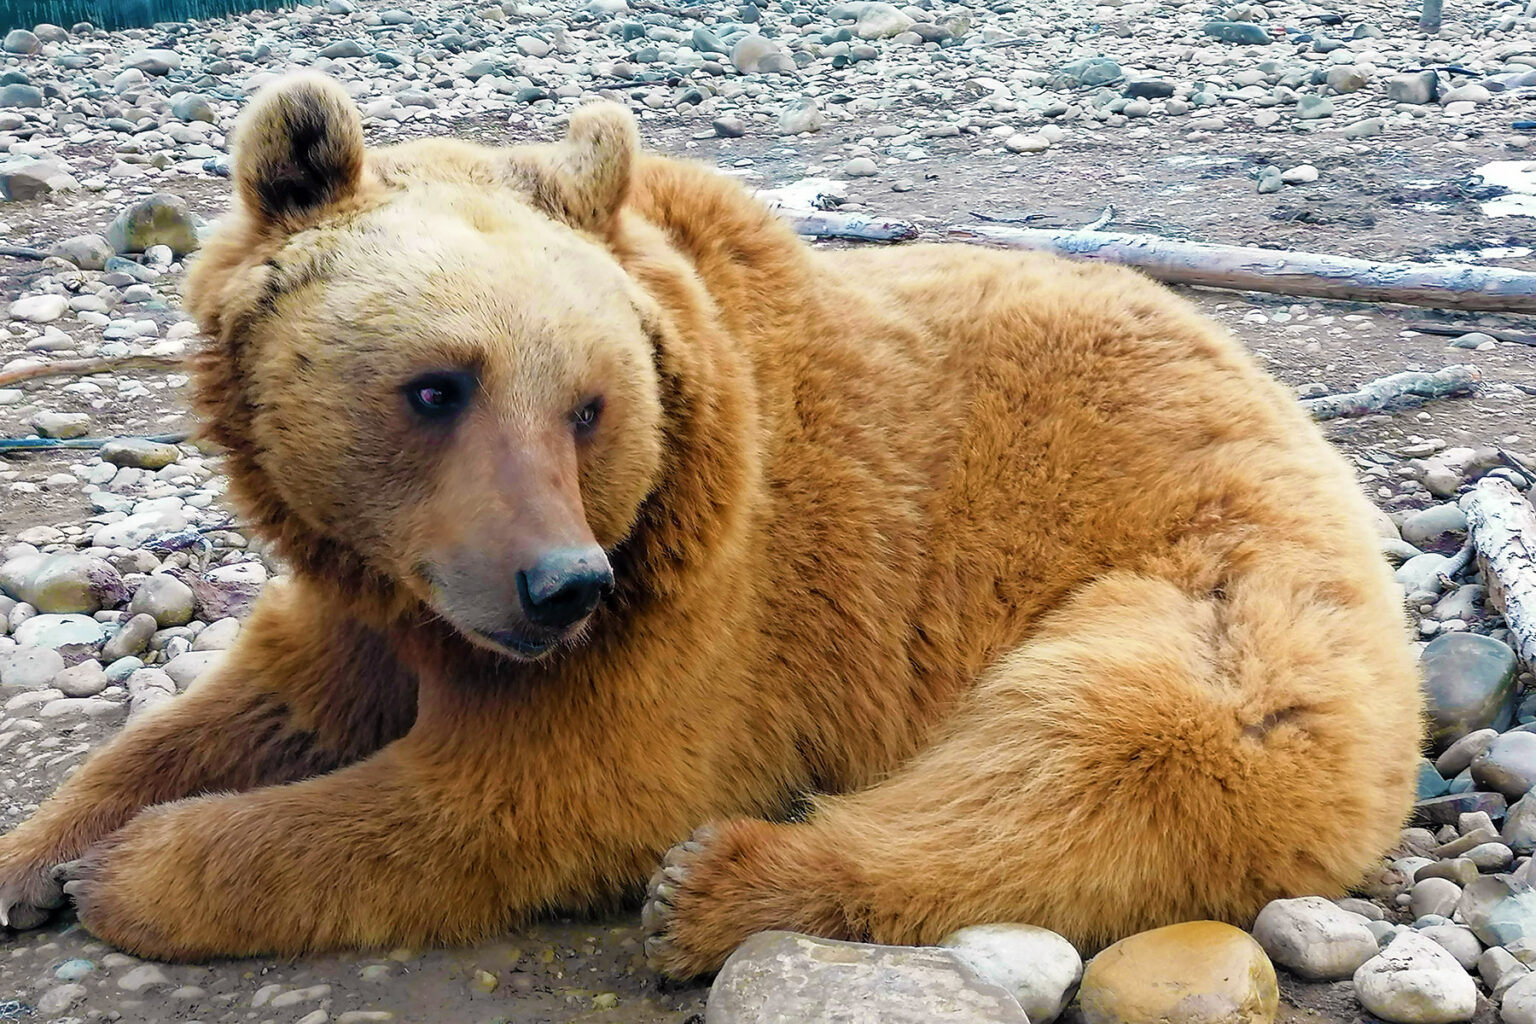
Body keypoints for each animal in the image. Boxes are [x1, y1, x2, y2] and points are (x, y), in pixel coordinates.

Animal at [0, 74, 1425, 976]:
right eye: (436, 385)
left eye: (588, 404)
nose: (559, 584)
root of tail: (1291, 409)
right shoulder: (375, 582)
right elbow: (252, 703)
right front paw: (43, 848)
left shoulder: (708, 592)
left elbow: (526, 792)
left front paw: (137, 870)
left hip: (1210, 580)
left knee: (1101, 752)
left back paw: (715, 887)